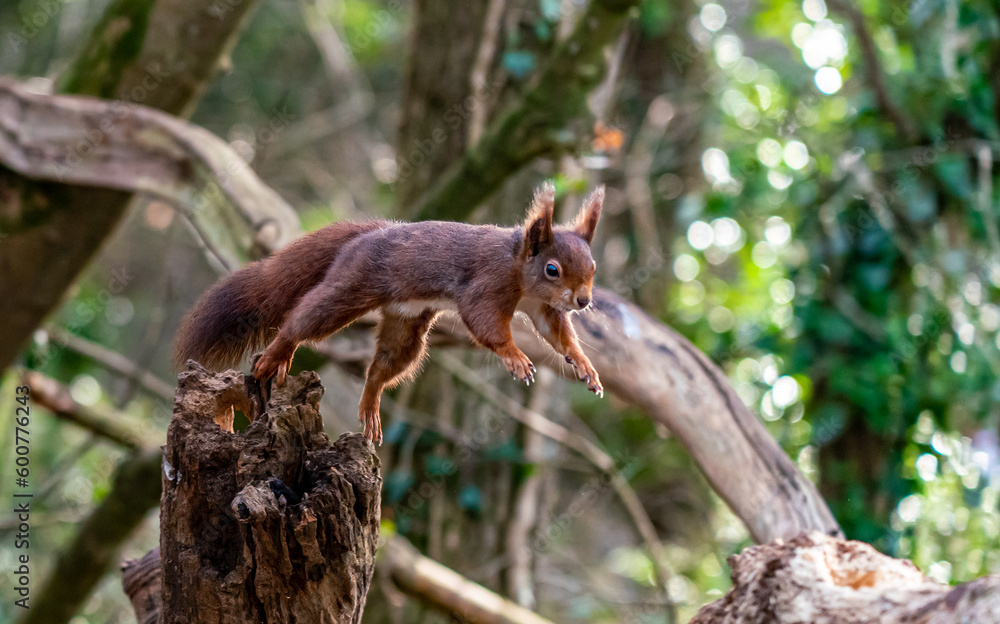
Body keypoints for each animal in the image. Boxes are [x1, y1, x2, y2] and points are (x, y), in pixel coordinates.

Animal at [174, 182, 605, 444]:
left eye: (593, 266)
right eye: (552, 269)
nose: (583, 301)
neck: (519, 268)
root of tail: (371, 233)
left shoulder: (544, 308)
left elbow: (558, 335)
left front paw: (586, 368)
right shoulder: (487, 284)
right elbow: (484, 322)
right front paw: (515, 357)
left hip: (406, 323)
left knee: (382, 367)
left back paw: (369, 406)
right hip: (350, 286)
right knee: (301, 322)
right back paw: (277, 354)